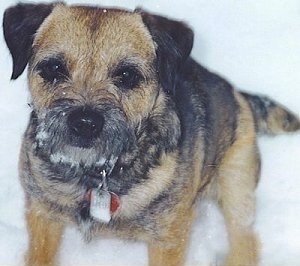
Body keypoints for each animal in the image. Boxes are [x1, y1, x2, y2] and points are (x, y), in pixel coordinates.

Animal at [2, 2, 300, 266]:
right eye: (54, 68)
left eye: (127, 75)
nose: (84, 122)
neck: (94, 175)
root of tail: (238, 93)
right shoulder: (41, 215)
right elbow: (39, 255)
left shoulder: (168, 238)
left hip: (237, 183)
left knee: (245, 240)